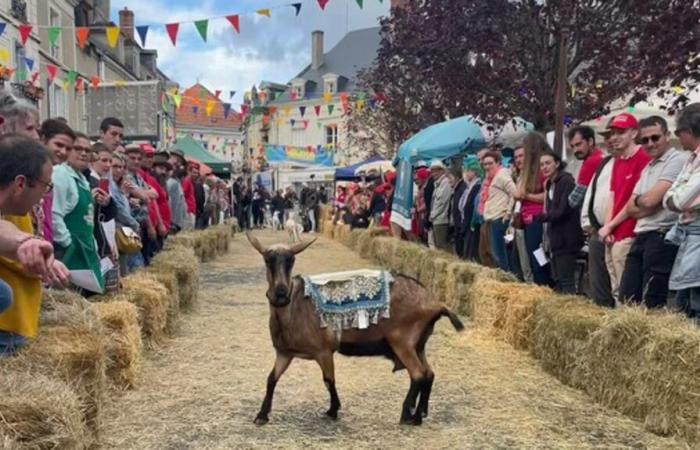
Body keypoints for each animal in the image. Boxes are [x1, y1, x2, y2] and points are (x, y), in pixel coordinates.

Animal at [246, 234, 464, 428]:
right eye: (267, 260)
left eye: (292, 260)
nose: (281, 294)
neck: (295, 307)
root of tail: (436, 304)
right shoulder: (284, 353)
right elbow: (271, 379)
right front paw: (262, 415)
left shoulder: (323, 351)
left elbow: (329, 380)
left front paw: (333, 411)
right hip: (419, 344)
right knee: (429, 374)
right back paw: (419, 413)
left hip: (402, 341)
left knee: (418, 375)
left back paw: (409, 416)